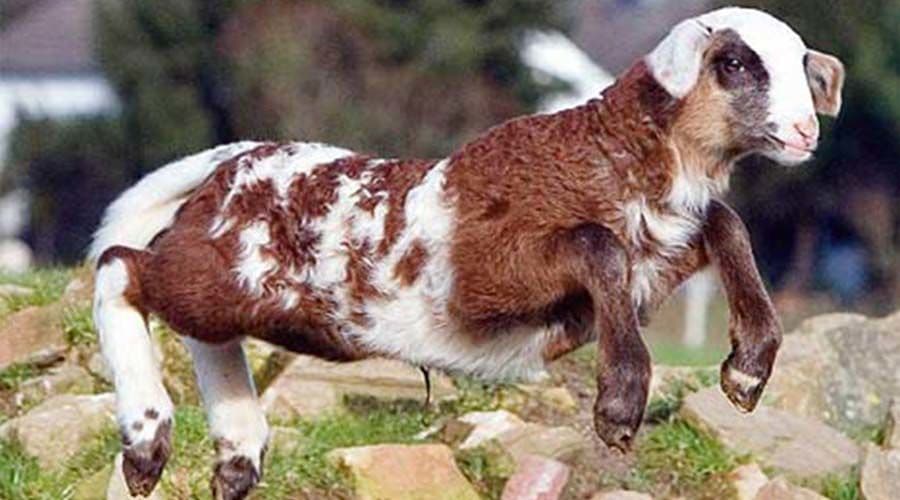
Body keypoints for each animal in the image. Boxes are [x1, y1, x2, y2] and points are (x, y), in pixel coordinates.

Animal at [89, 7, 844, 499]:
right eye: (736, 63)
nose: (807, 132)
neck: (613, 161)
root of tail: (227, 163)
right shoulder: (486, 277)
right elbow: (599, 243)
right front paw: (620, 408)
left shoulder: (661, 256)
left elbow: (726, 224)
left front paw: (746, 373)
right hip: (228, 275)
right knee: (121, 266)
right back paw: (148, 443)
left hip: (247, 294)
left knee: (197, 330)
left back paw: (237, 449)